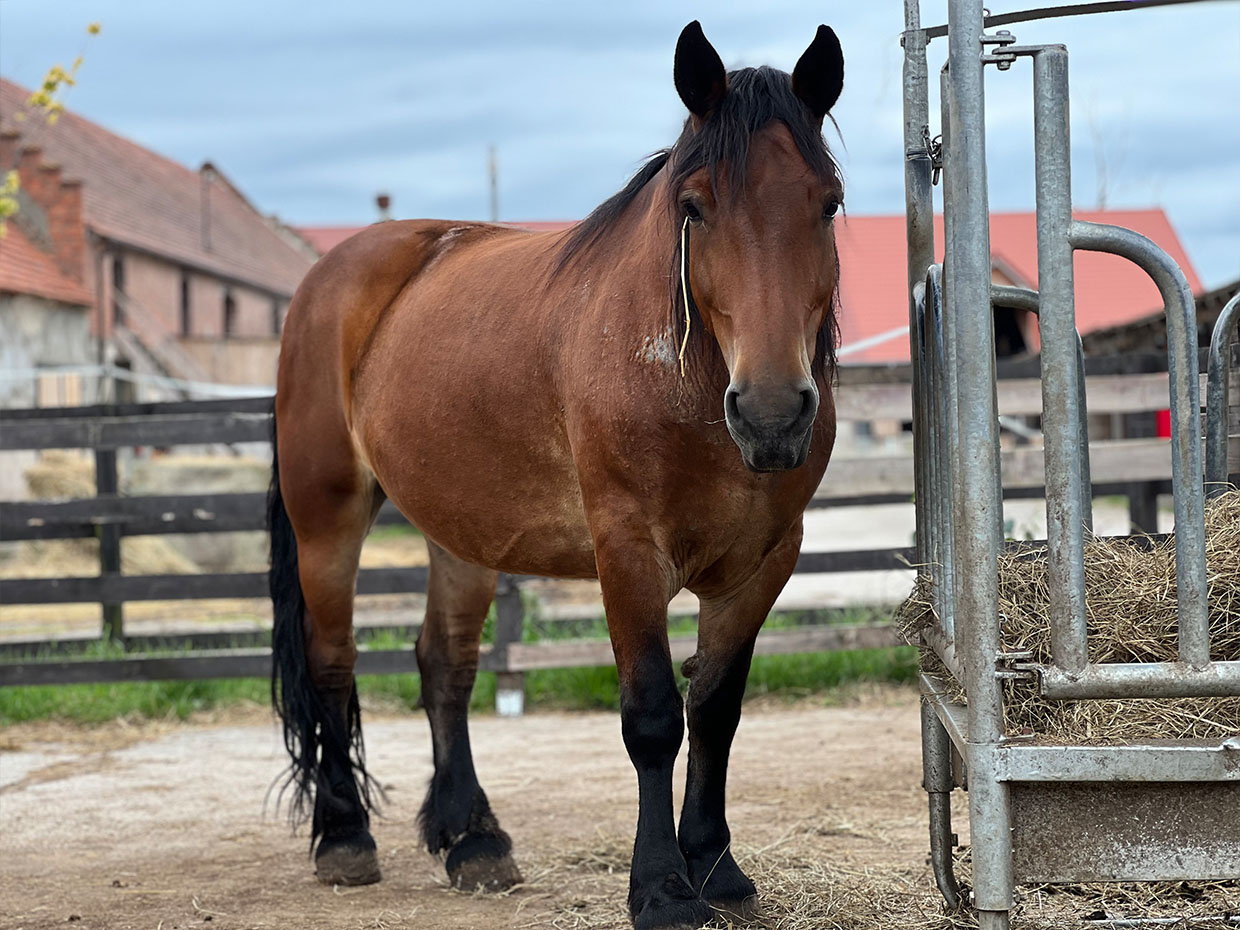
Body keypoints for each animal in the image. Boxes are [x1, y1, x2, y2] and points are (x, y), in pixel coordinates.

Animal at [270, 21, 848, 930]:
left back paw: (471, 838)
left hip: (461, 530)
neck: (682, 380)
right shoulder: (627, 552)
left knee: (445, 665)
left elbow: (715, 710)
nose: (770, 412)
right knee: (333, 661)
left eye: (827, 203)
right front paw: (661, 888)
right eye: (694, 205)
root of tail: (332, 276)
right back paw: (344, 838)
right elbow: (653, 717)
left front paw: (717, 870)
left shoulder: (764, 561)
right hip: (326, 515)